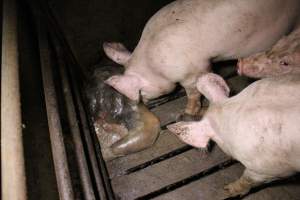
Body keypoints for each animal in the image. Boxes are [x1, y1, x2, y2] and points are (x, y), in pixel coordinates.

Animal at [103, 0, 300, 119]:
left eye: (141, 93)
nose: (144, 102)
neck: (152, 62)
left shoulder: (194, 69)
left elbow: (194, 91)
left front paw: (186, 113)